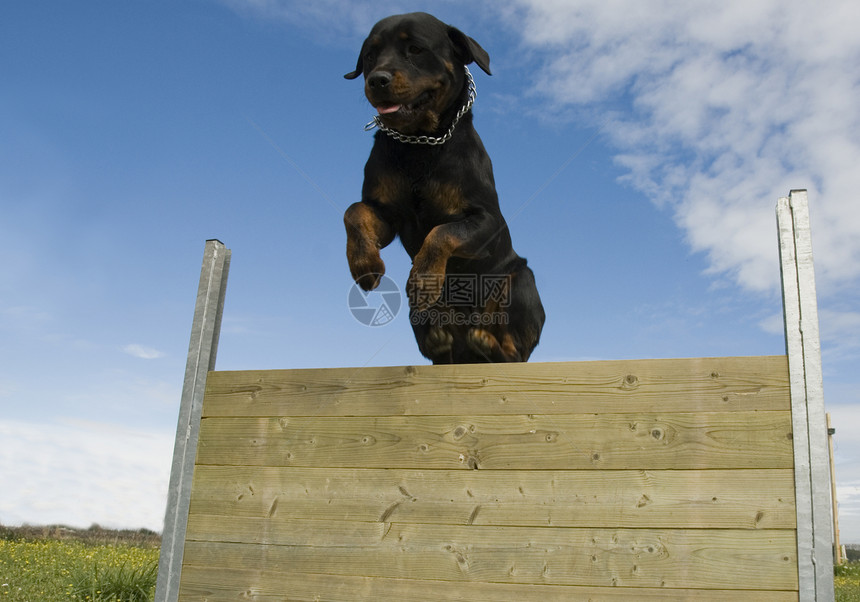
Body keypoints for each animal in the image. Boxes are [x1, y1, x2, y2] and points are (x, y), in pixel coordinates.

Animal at [342, 11, 544, 364]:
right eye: (369, 55)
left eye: (415, 49)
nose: (377, 79)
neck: (419, 144)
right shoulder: (387, 214)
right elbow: (354, 212)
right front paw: (365, 265)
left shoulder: (485, 221)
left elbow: (442, 233)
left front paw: (424, 280)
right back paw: (440, 338)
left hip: (521, 282)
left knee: (513, 352)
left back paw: (487, 342)